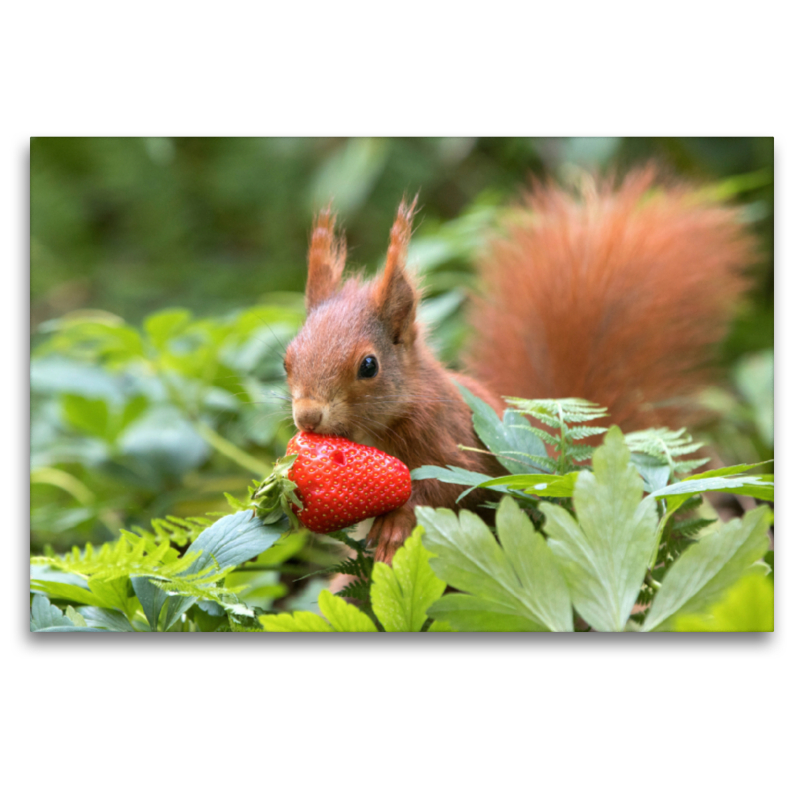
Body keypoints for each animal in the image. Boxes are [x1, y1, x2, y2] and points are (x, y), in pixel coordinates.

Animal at [282, 167, 756, 564]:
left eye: (368, 365)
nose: (308, 416)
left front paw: (396, 522)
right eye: (286, 359)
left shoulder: (450, 440)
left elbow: (447, 487)